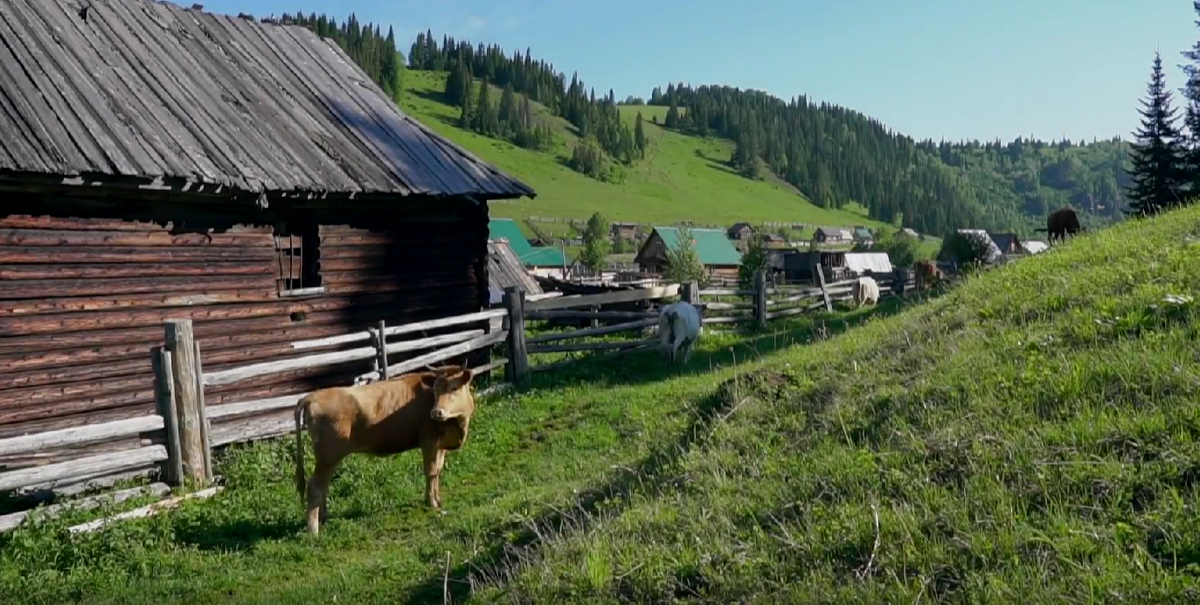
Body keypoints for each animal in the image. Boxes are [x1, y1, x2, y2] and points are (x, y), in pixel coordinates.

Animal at [292, 364, 475, 532]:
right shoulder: (428, 441)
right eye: (435, 389)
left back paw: (324, 517)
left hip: (329, 459)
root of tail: (311, 396)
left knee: (323, 485)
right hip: (328, 456)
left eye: (454, 388)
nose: (436, 412)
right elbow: (430, 472)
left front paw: (438, 499)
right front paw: (431, 503)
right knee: (315, 487)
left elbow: (437, 470)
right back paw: (313, 529)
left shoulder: (440, 444)